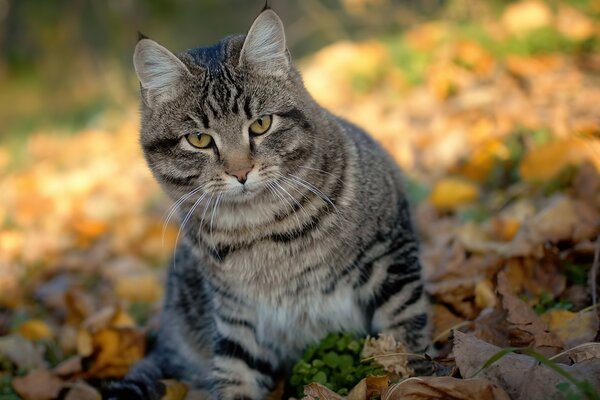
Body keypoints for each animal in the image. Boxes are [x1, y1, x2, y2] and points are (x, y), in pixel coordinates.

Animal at [105, 6, 428, 400]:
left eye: (261, 124)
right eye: (199, 139)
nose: (240, 171)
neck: (262, 229)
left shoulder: (391, 257)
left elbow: (402, 339)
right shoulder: (236, 316)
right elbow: (236, 376)